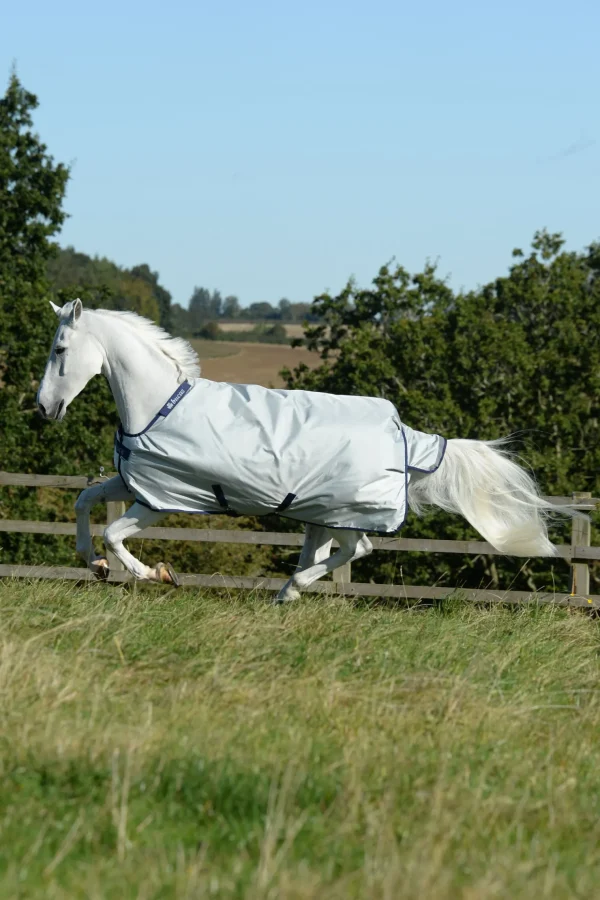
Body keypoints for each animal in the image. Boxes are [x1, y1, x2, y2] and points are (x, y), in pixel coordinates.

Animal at [37, 298, 568, 600]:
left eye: (60, 349)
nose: (43, 408)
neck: (159, 405)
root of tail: (406, 434)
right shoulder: (132, 483)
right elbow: (83, 502)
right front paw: (95, 565)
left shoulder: (159, 499)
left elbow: (114, 534)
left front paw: (157, 574)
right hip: (323, 513)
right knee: (336, 551)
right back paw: (286, 594)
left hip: (345, 511)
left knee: (359, 548)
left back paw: (291, 590)